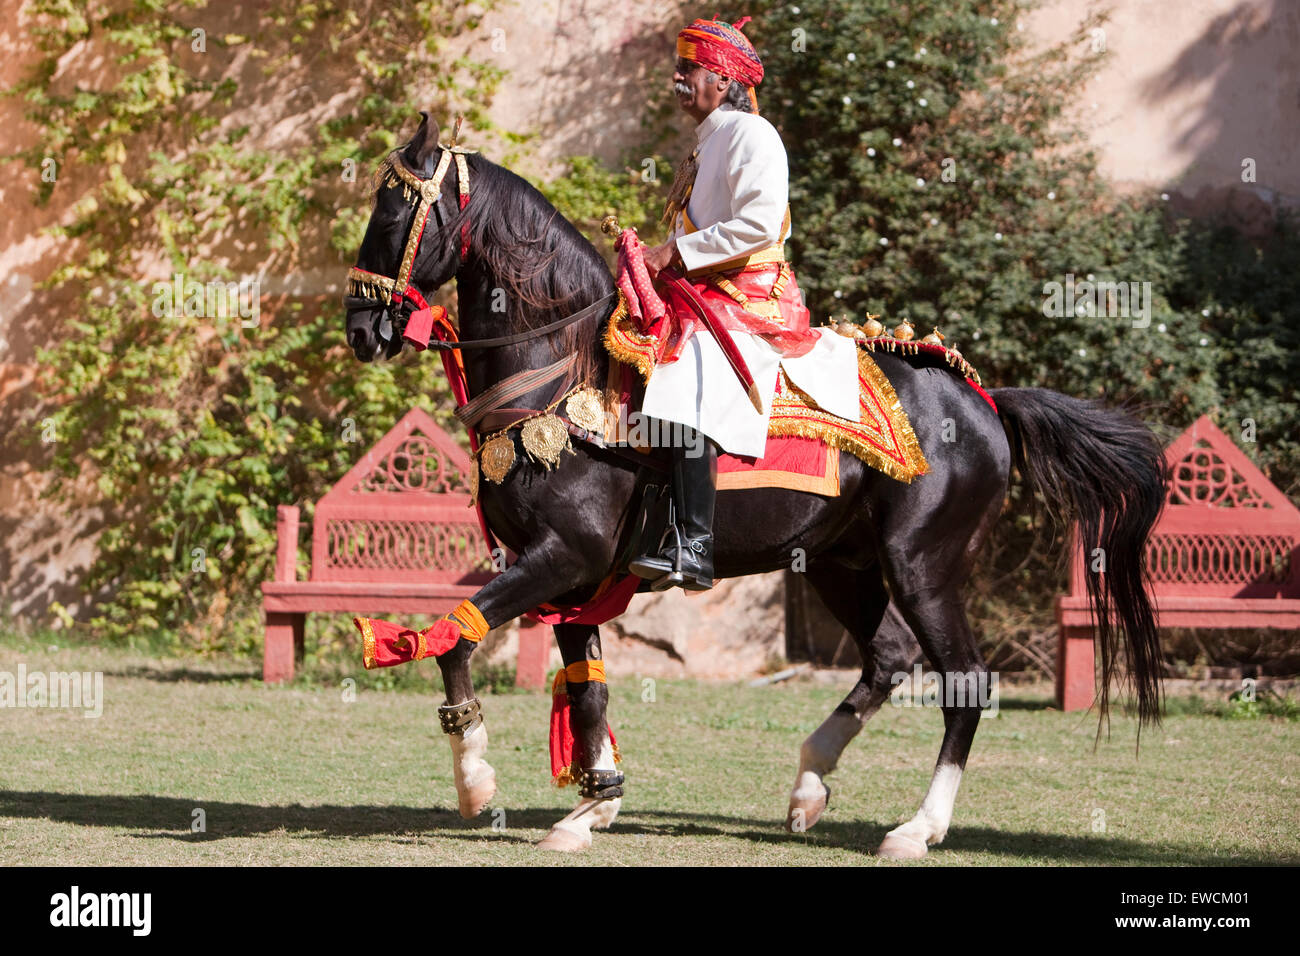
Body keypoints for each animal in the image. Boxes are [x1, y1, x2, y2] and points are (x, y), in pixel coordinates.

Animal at [342, 113, 1167, 858]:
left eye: (392, 212)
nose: (359, 329)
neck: (563, 370)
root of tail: (987, 400)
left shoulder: (561, 557)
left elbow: (453, 639)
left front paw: (476, 782)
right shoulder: (573, 577)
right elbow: (587, 687)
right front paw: (592, 805)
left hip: (921, 564)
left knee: (964, 681)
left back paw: (916, 828)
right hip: (842, 564)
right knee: (890, 658)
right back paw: (808, 785)